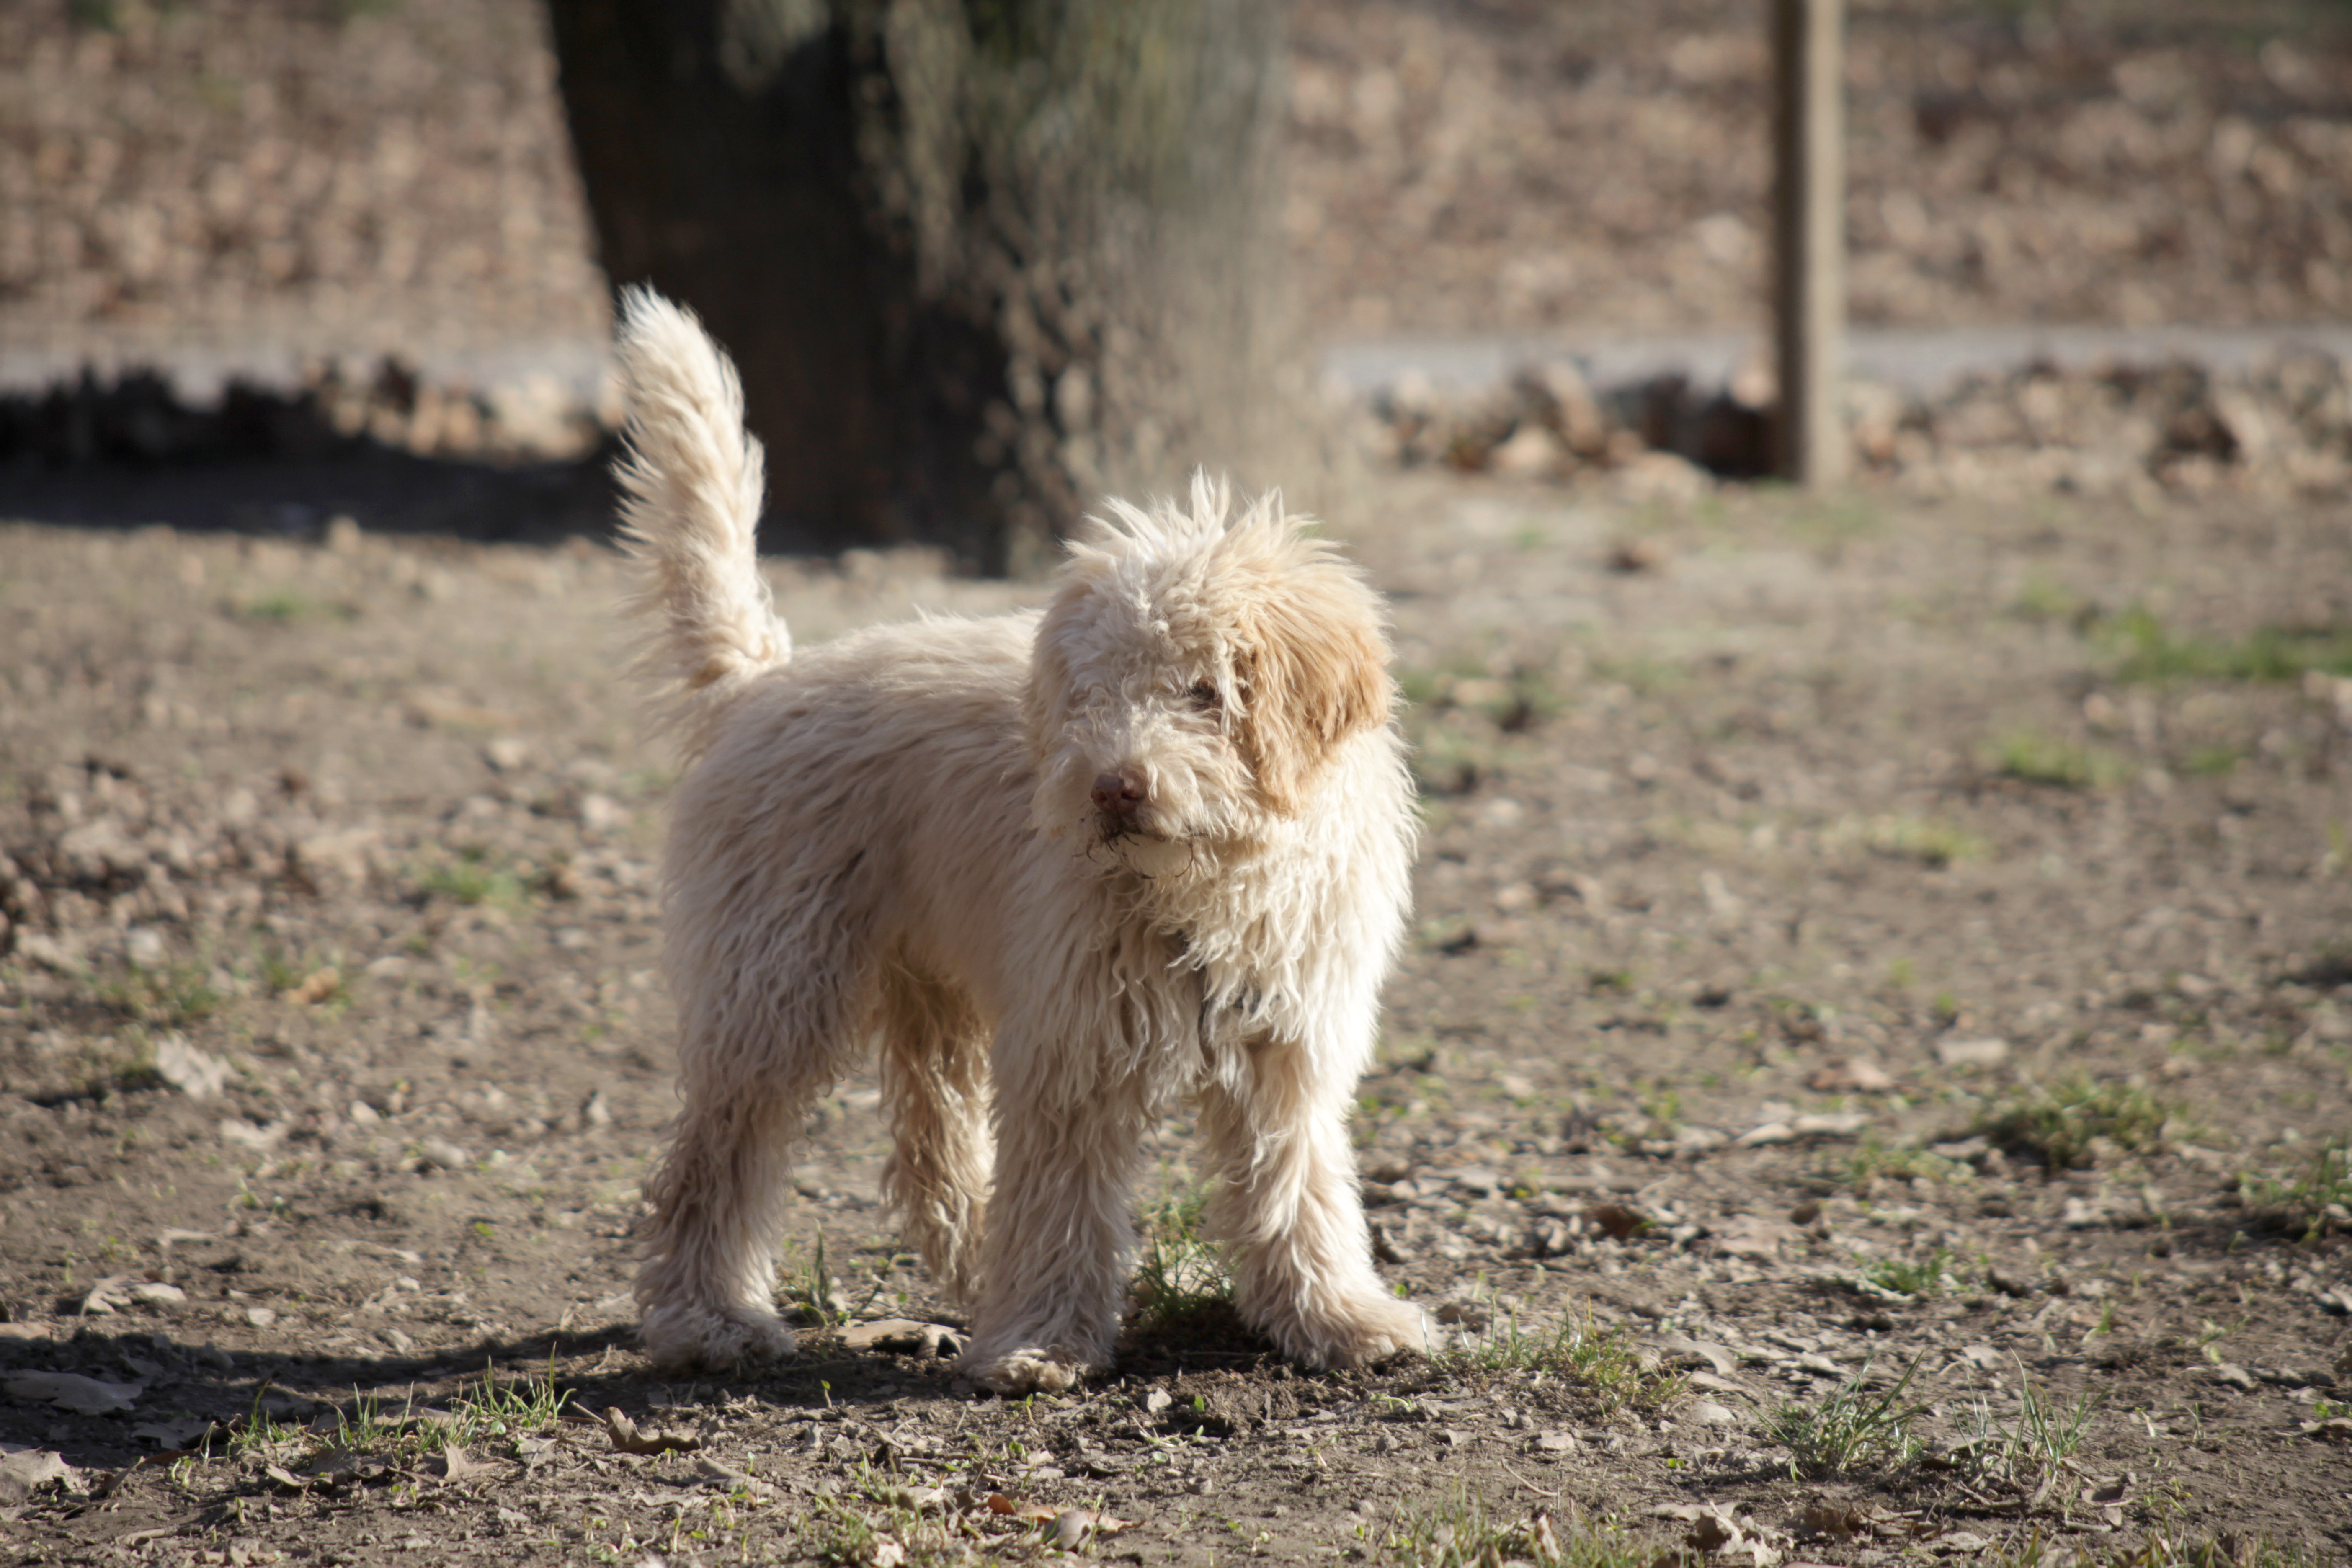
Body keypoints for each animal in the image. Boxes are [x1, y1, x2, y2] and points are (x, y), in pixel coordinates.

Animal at [611, 288, 1411, 1392]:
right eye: (1091, 693)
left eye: (1205, 690)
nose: (1114, 786)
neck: (1204, 887)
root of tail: (763, 683)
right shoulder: (1073, 1037)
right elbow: (1062, 1200)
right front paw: (1040, 1340)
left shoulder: (1285, 1045)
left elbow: (1300, 1186)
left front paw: (1337, 1316)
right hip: (775, 982)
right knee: (717, 1157)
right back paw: (708, 1319)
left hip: (930, 988)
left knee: (930, 1153)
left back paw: (968, 1273)